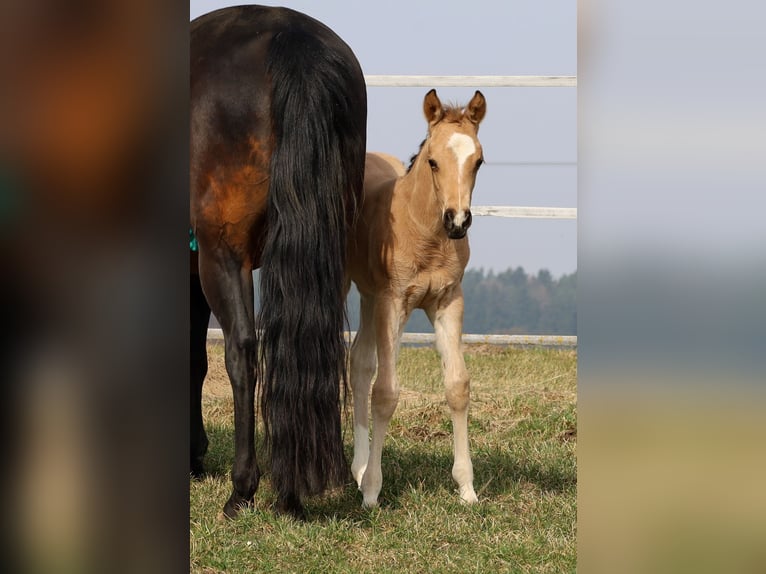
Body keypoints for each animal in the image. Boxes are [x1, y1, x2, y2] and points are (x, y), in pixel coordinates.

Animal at [346, 89, 486, 507]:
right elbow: (386, 391)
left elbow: (457, 385)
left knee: (359, 363)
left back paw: (358, 467)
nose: (457, 221)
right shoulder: (393, 302)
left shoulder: (448, 301)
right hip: (357, 289)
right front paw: (372, 493)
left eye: (478, 160)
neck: (425, 234)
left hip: (369, 297)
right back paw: (363, 473)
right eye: (433, 161)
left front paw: (466, 488)